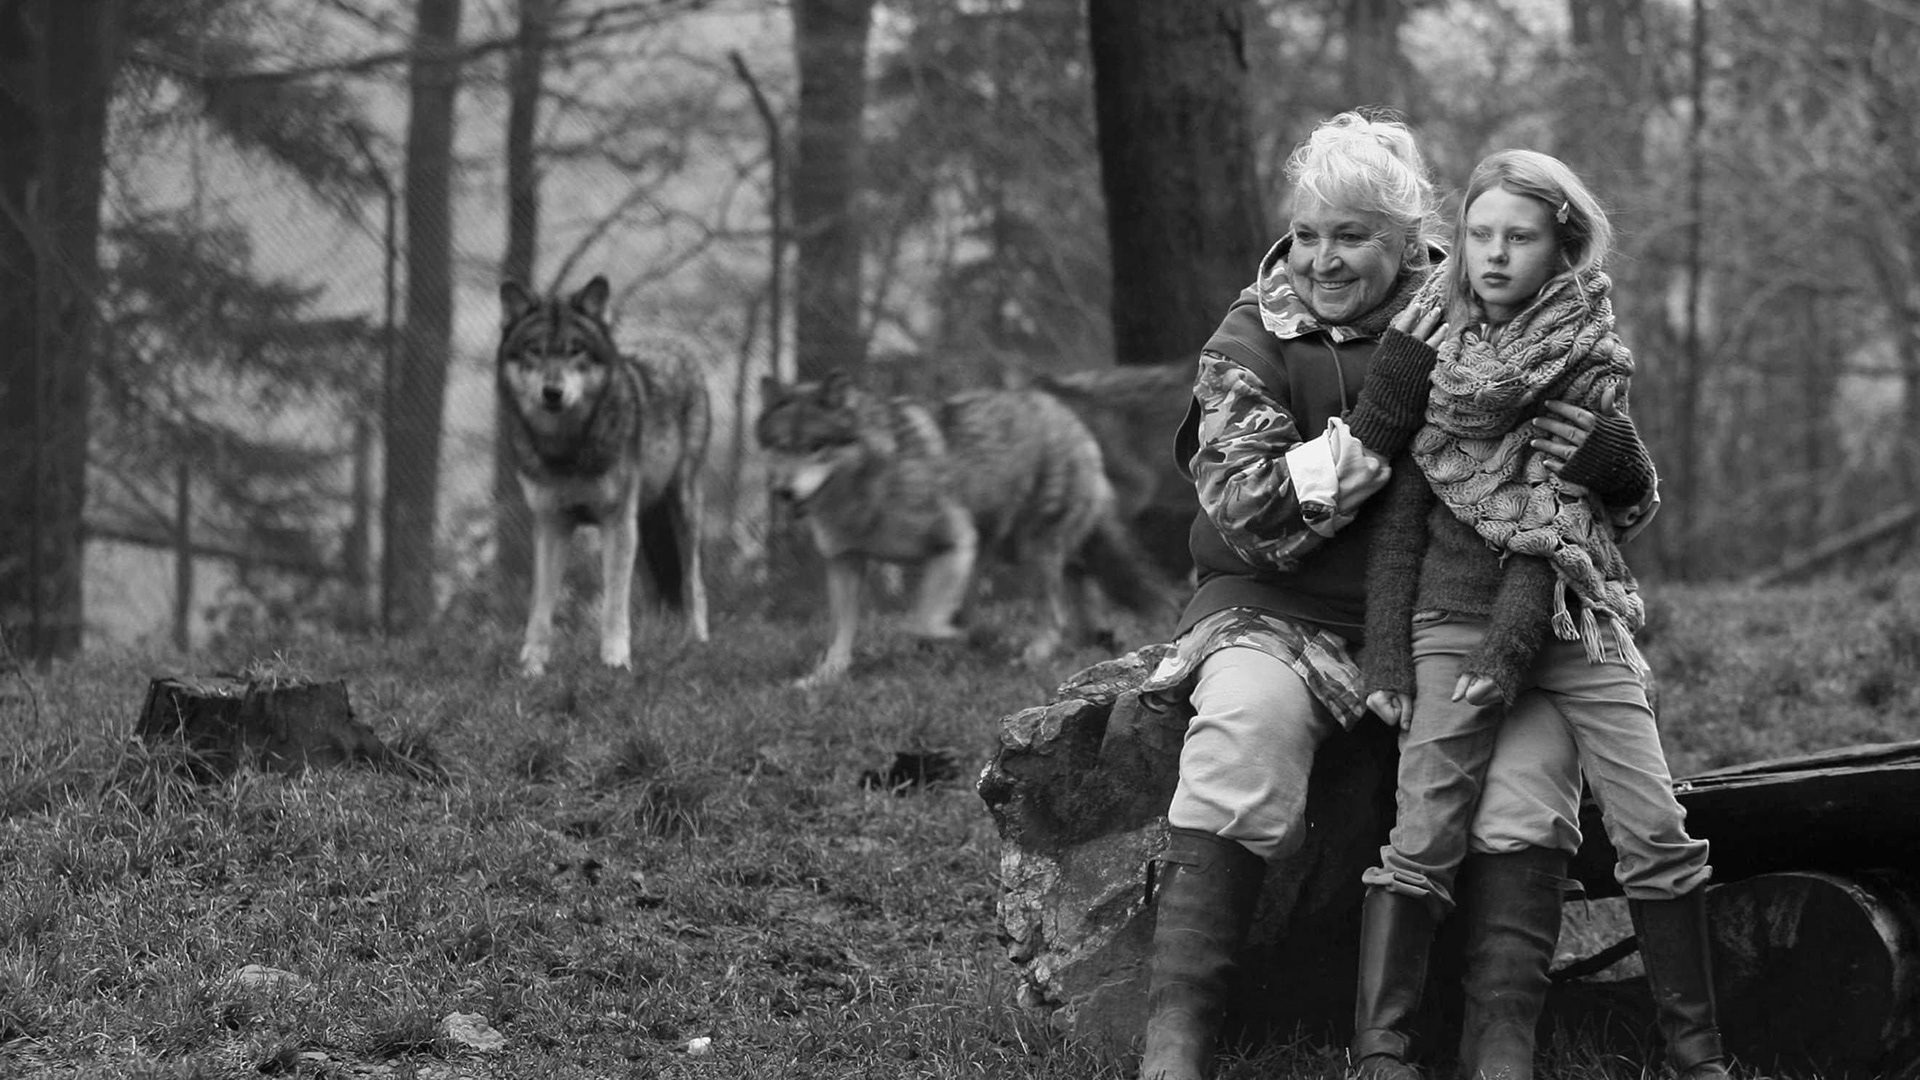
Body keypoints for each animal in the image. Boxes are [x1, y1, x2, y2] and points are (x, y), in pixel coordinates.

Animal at [497, 275, 710, 677]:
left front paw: (615, 661)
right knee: (655, 590)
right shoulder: (551, 524)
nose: (552, 392)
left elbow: (614, 602)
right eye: (534, 350)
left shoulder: (616, 522)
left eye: (575, 351)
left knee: (694, 582)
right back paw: (655, 639)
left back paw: (695, 642)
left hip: (681, 508)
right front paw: (532, 666)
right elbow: (540, 606)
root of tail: (672, 342)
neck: (566, 449)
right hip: (645, 526)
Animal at [755, 370, 1170, 687]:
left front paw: (958, 637)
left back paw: (1033, 656)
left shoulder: (953, 543)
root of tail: (1066, 414)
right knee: (1083, 588)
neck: (870, 487)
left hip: (1031, 551)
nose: (783, 492)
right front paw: (824, 677)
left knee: (1056, 614)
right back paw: (1098, 642)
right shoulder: (845, 560)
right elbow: (841, 635)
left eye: (815, 446)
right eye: (780, 447)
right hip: (1015, 548)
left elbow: (921, 622)